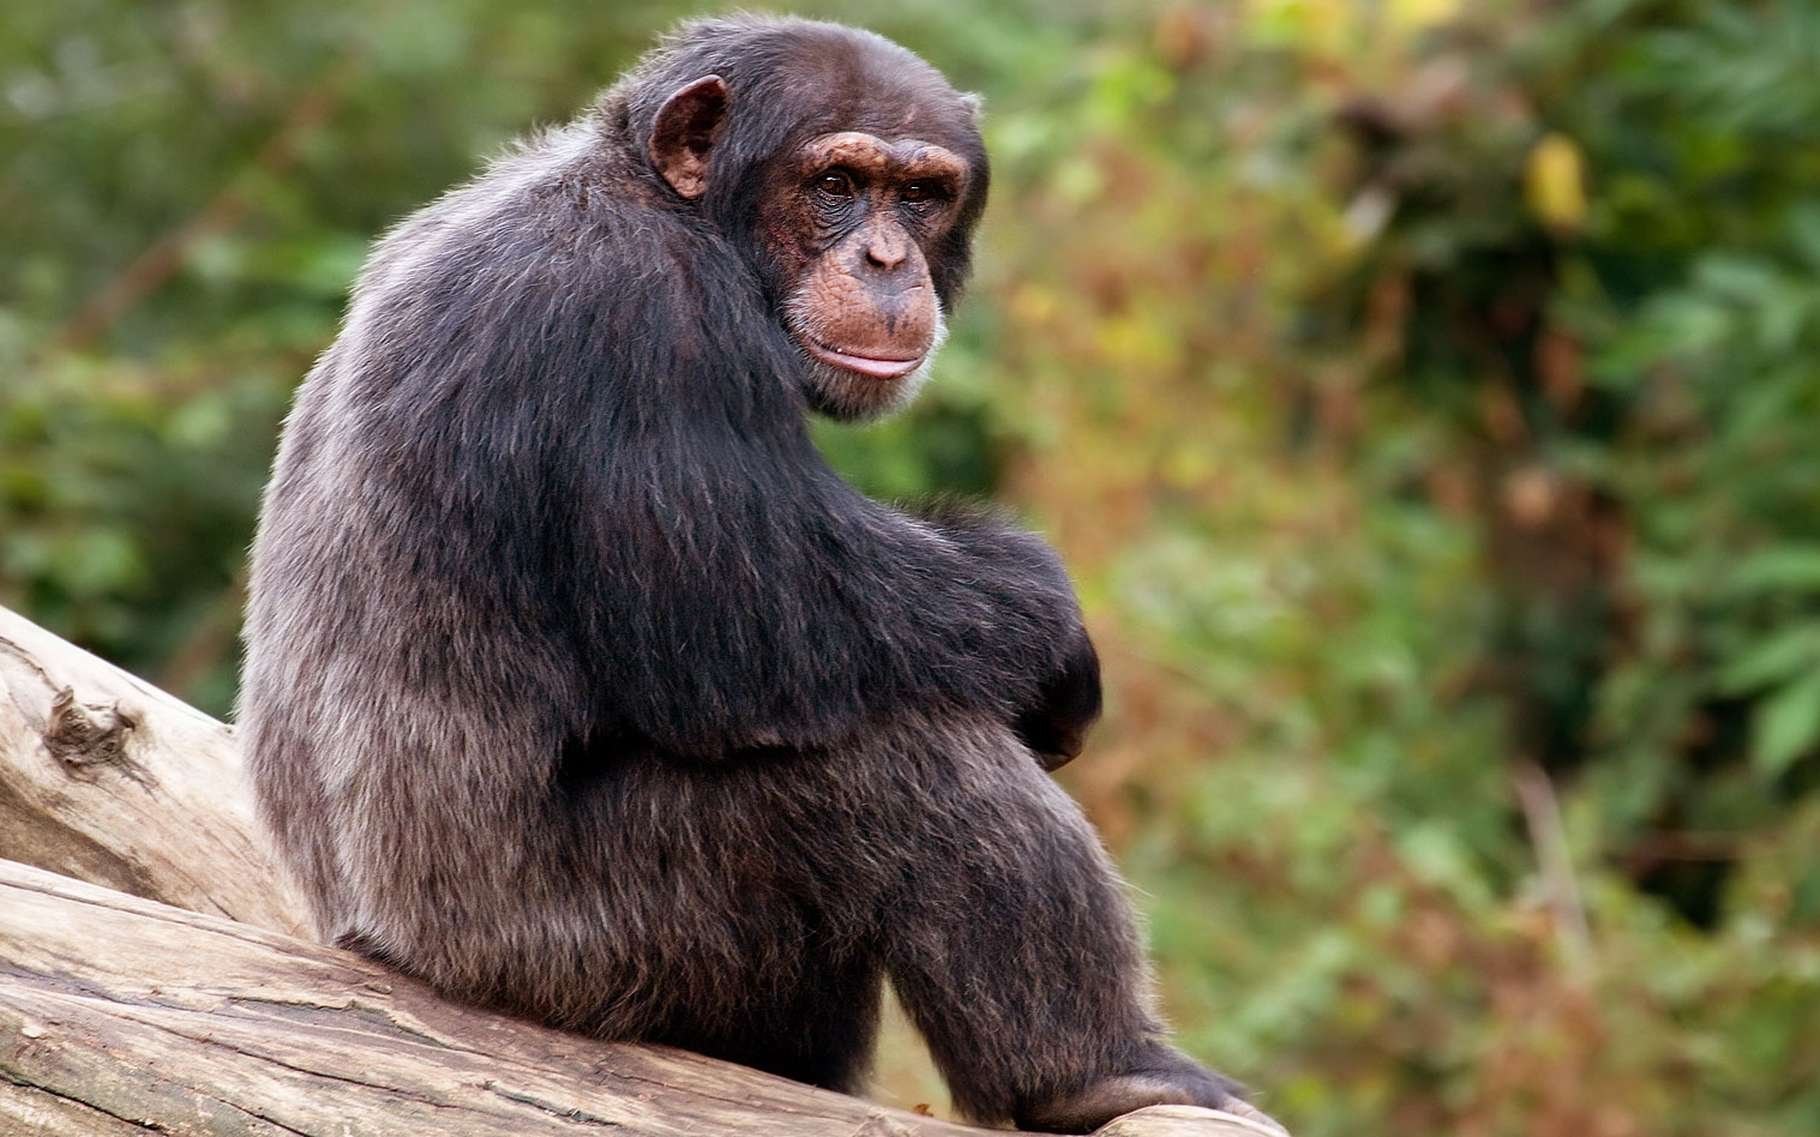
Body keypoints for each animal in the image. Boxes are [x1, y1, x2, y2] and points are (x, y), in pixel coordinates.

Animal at [240, 16, 1278, 1134]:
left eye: (922, 194)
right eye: (837, 182)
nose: (885, 256)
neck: (663, 201)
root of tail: (376, 946)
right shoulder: (648, 321)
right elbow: (759, 621)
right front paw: (1054, 632)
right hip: (587, 944)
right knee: (905, 766)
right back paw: (1099, 1071)